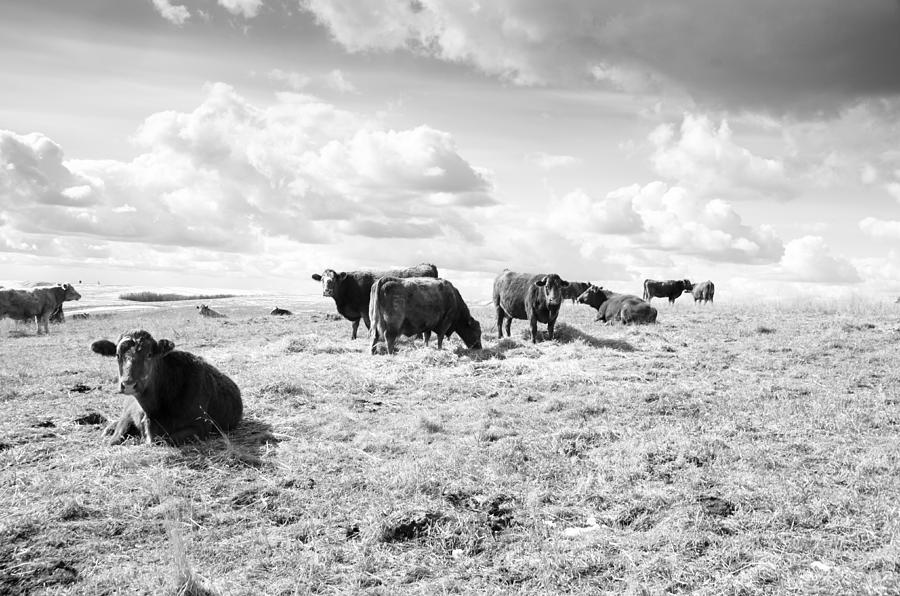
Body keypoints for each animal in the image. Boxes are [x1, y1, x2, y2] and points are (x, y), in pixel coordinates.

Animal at [96, 328, 243, 444]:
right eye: (117, 355)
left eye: (149, 355)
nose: (128, 384)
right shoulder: (128, 414)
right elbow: (114, 439)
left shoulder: (201, 426)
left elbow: (165, 440)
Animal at [312, 262, 440, 338]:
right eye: (322, 280)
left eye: (333, 279)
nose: (327, 291)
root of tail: (427, 265)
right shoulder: (356, 310)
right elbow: (354, 325)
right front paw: (353, 338)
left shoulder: (365, 310)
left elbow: (368, 324)